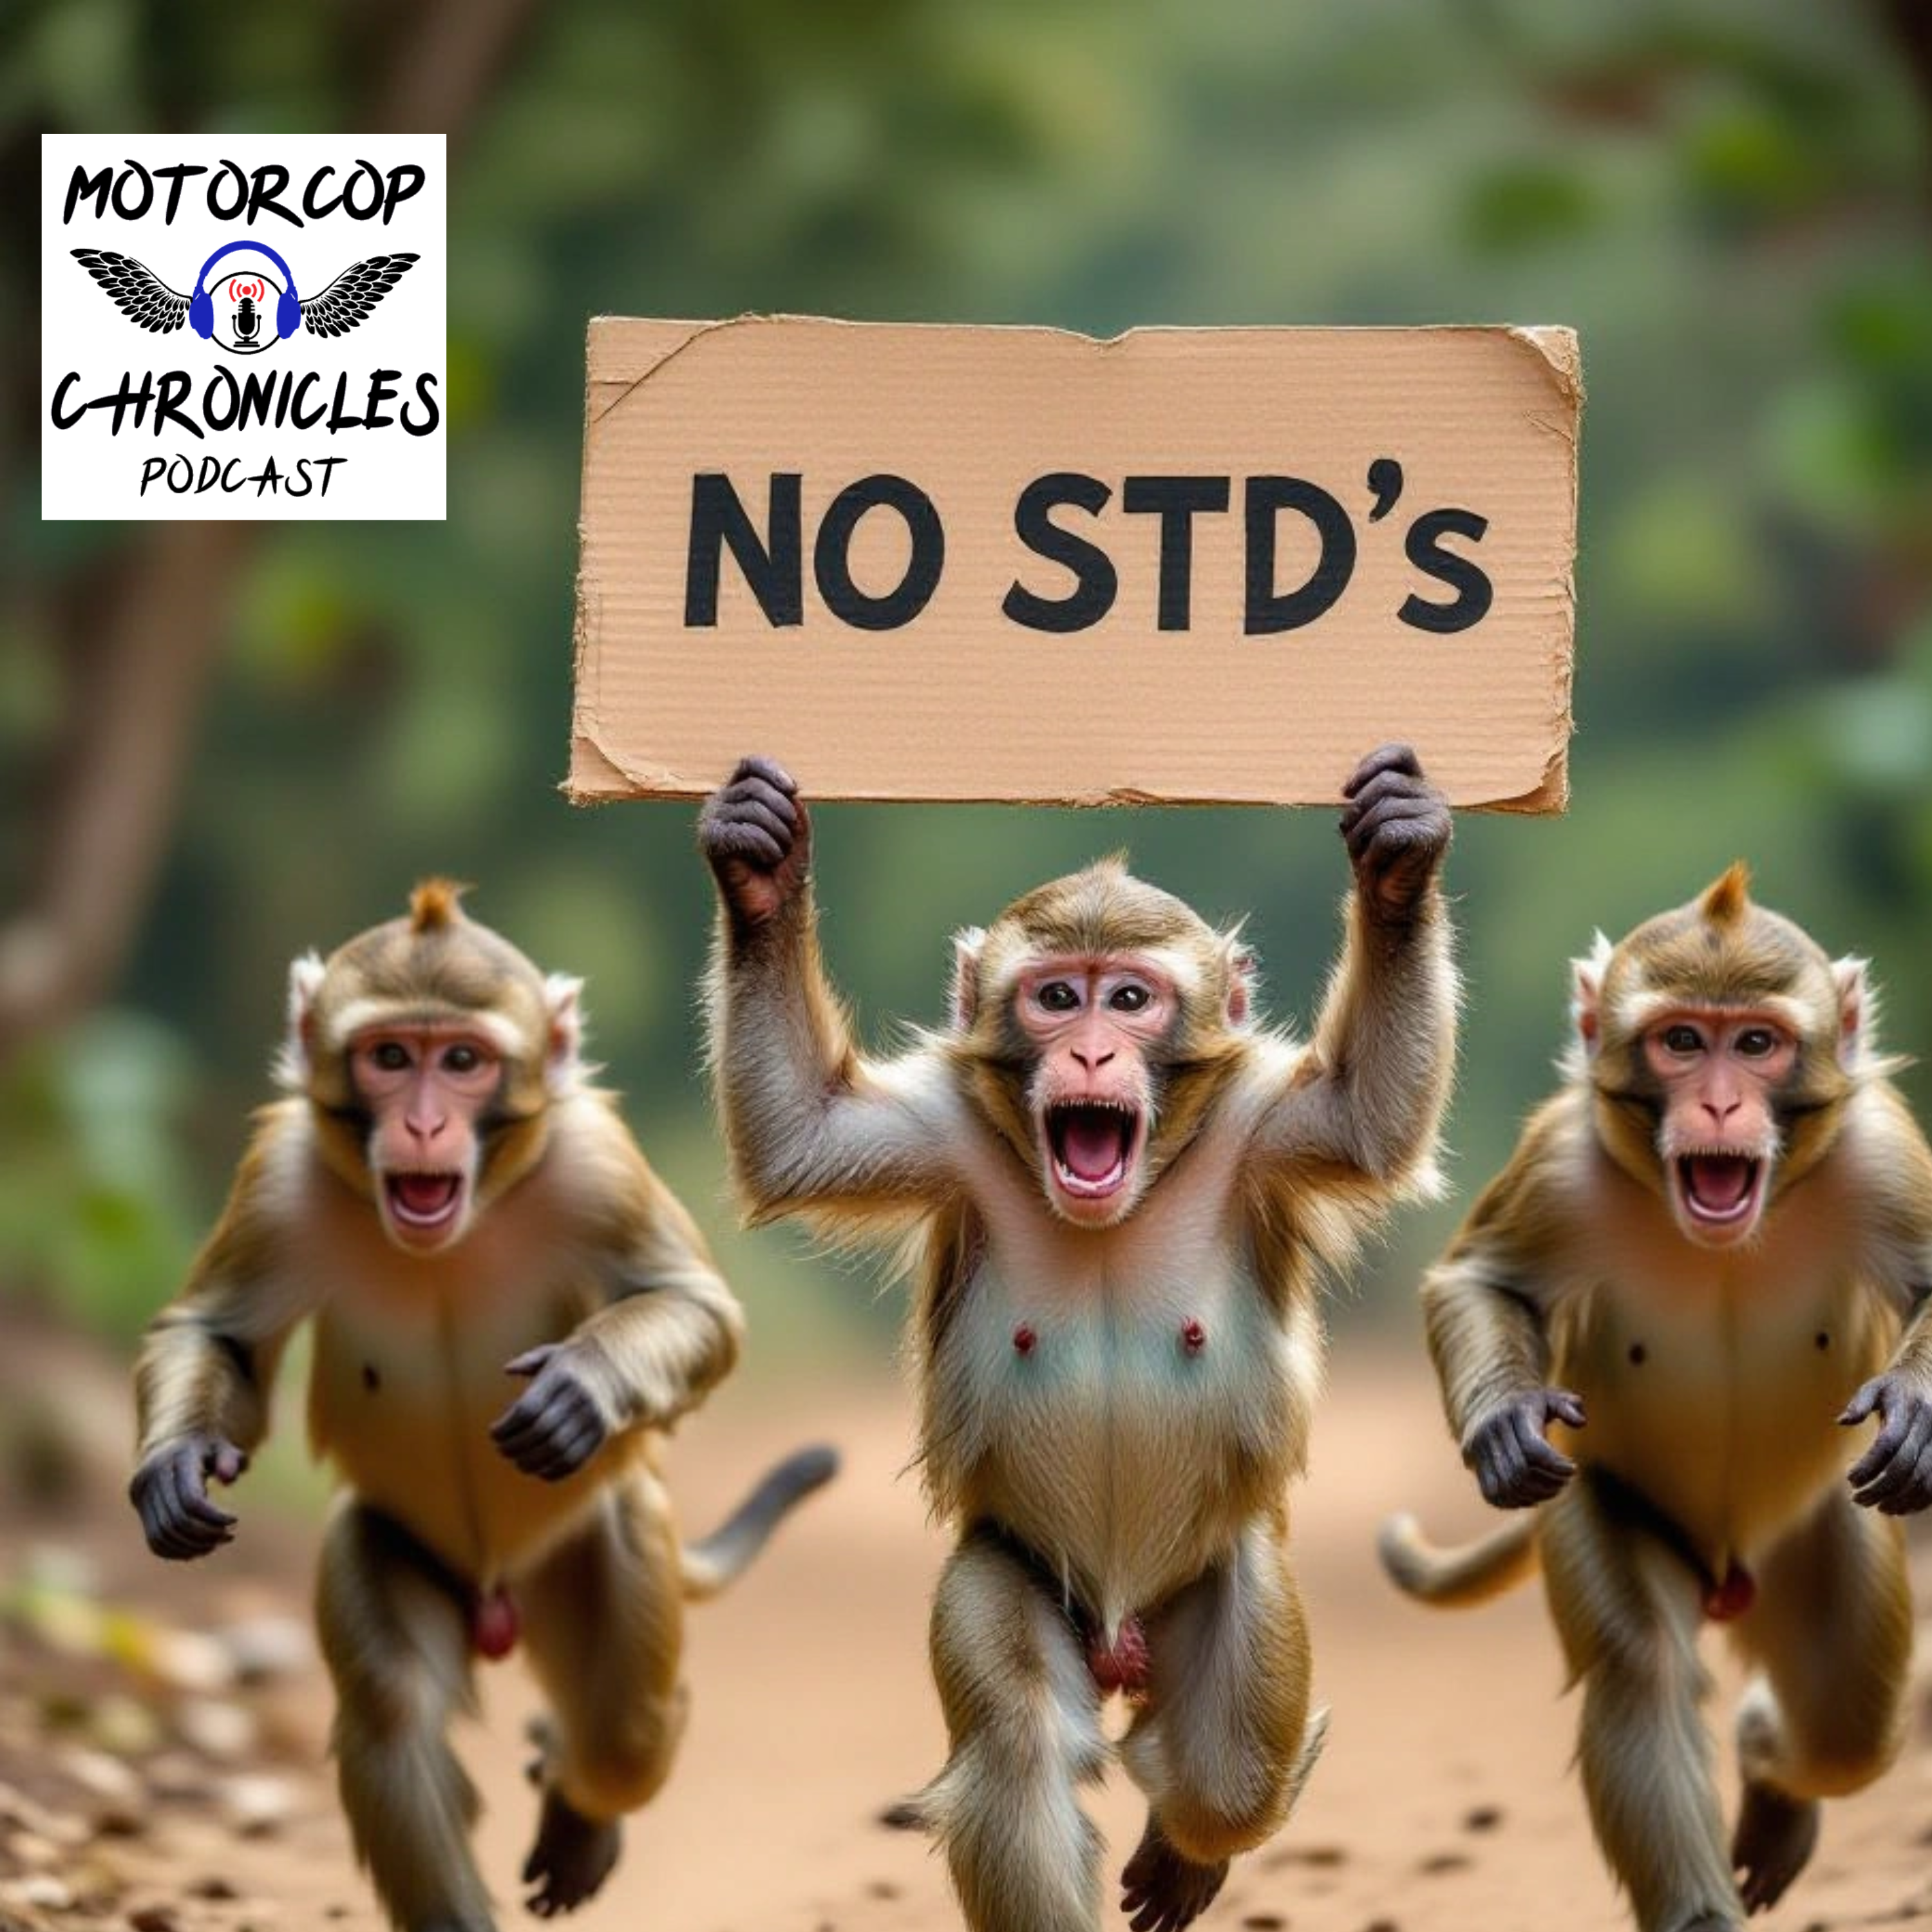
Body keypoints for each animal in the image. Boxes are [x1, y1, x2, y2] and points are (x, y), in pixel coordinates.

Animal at [130, 881, 836, 1932]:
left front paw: (584, 1384)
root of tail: (499, 1596)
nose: (423, 1126)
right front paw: (173, 1464)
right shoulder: (280, 1176)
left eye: (462, 1061)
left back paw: (584, 1801)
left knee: (626, 1729)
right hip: (394, 1544)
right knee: (392, 1709)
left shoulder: (594, 1161)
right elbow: (221, 1338)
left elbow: (696, 1307)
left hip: (599, 1547)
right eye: (391, 1057)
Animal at [699, 747, 1457, 1932]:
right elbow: (798, 1135)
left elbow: (1367, 1115)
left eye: (1131, 999)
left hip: (1221, 1573)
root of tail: (1120, 1635)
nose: (1093, 1049)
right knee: (1018, 1740)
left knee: (1229, 1772)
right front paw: (760, 864)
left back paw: (1196, 1843)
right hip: (1013, 1570)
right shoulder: (947, 1134)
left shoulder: (1259, 1127)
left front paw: (1397, 856)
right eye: (1058, 997)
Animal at [1379, 864, 1932, 1932]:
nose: (1716, 1107)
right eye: (1683, 1041)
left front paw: (1919, 1412)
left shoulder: (1885, 1154)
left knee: (1846, 1716)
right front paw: (1501, 1424)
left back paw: (1771, 1764)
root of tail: (1731, 1572)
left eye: (1754, 1044)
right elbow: (1481, 1281)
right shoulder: (1561, 1159)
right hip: (1612, 1502)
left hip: (1821, 1530)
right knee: (1645, 1668)